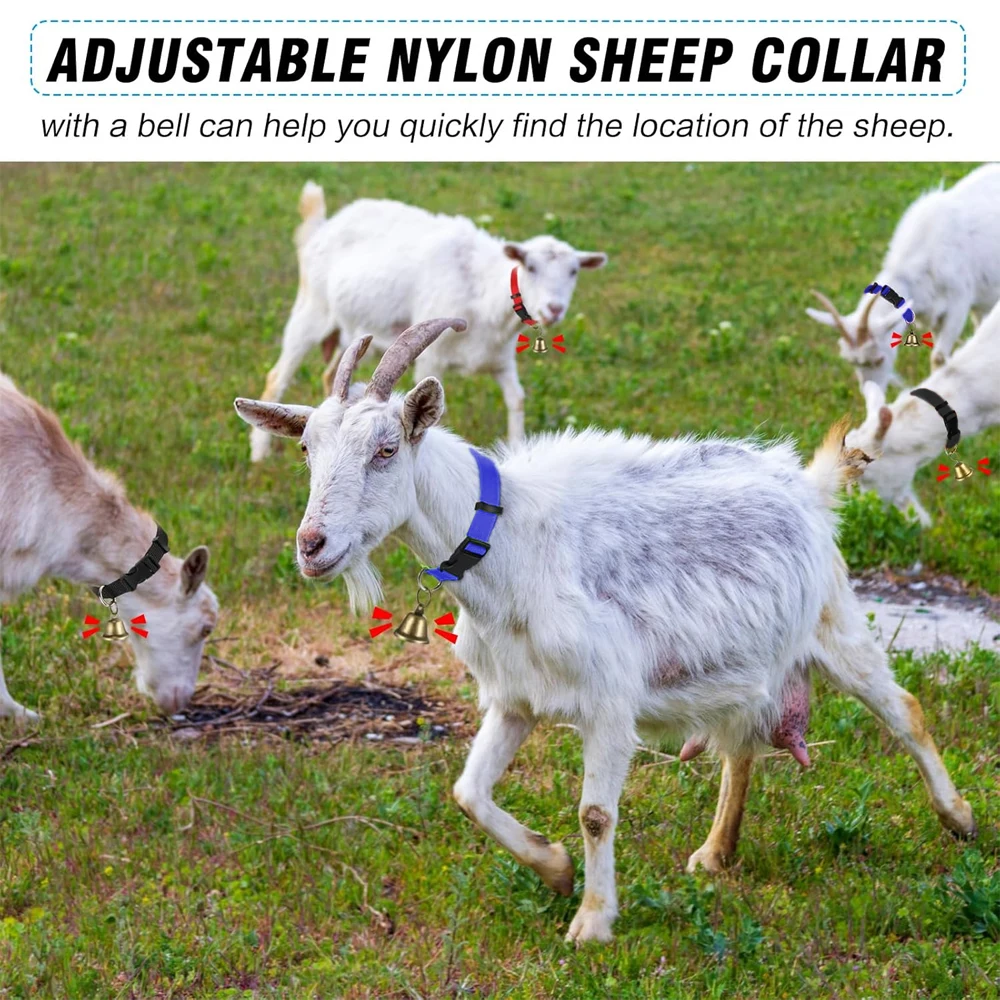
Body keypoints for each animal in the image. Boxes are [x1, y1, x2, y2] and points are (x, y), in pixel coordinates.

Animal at [234, 318, 976, 945]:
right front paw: (556, 869)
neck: (512, 543)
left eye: (386, 450)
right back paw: (715, 853)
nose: (312, 546)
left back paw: (959, 818)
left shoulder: (609, 701)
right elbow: (469, 794)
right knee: (742, 744)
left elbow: (596, 813)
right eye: (308, 450)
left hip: (833, 622)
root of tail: (806, 483)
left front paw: (592, 921)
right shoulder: (514, 699)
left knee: (903, 709)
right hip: (747, 662)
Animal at [247, 184, 607, 462]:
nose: (554, 309)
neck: (480, 288)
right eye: (530, 267)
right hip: (313, 308)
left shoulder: (500, 358)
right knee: (277, 375)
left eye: (574, 271)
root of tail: (323, 226)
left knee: (329, 374)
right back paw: (260, 455)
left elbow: (516, 399)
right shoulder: (431, 358)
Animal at [807, 163, 1000, 390]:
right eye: (851, 361)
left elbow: (939, 358)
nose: (870, 393)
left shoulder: (958, 303)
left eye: (879, 359)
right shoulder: (935, 314)